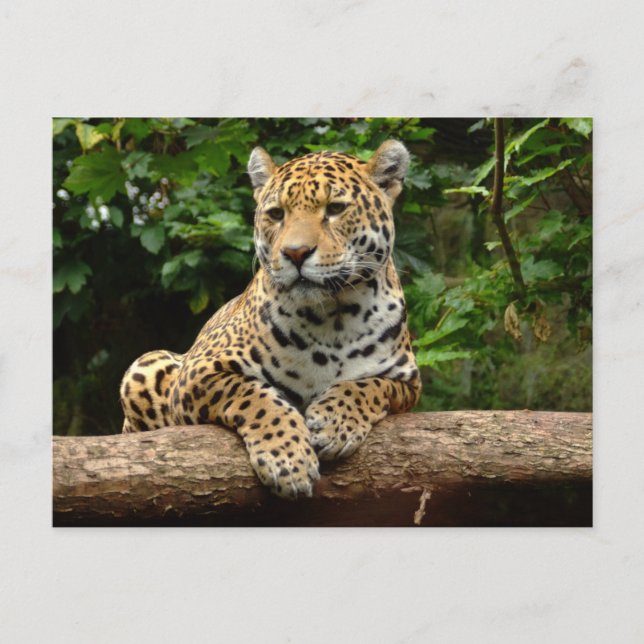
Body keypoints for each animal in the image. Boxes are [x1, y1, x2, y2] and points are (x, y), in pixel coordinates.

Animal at [119, 139, 422, 499]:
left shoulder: (408, 382)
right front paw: (288, 460)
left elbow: (368, 386)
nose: (295, 253)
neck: (334, 318)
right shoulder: (197, 373)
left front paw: (334, 423)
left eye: (335, 208)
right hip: (148, 364)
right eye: (277, 214)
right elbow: (254, 395)